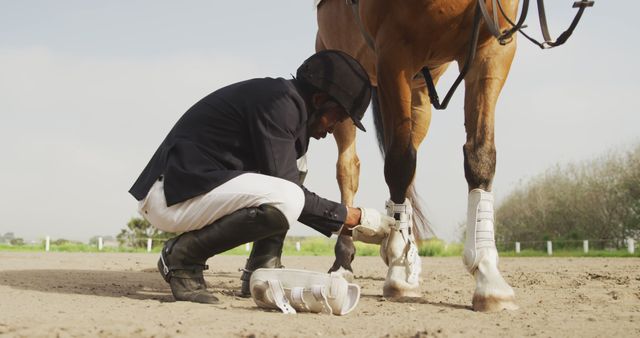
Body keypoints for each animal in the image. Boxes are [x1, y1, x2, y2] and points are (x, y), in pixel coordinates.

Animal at [316, 0, 528, 312]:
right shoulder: (394, 53)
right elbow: (399, 163)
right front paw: (399, 271)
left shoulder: (493, 49)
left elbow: (480, 154)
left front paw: (488, 277)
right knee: (349, 168)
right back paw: (344, 260)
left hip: (420, 91)